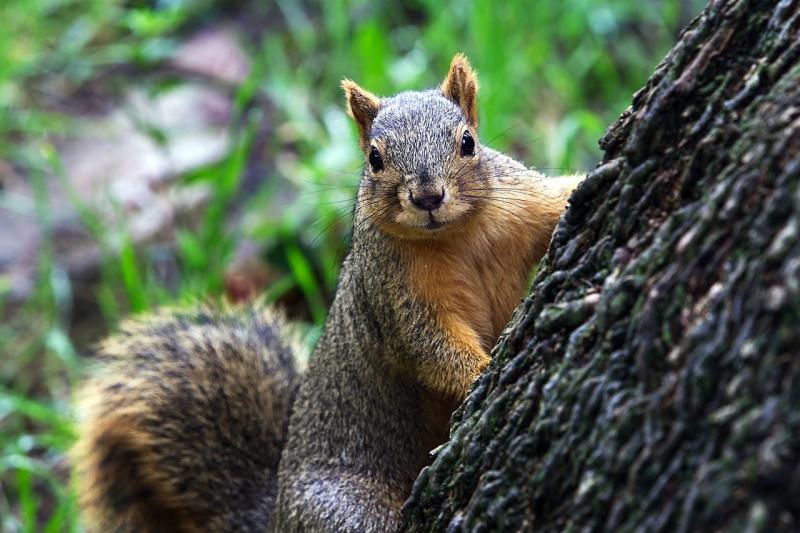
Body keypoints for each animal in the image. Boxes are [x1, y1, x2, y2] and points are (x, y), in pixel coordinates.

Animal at [72, 55, 584, 532]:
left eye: (468, 142)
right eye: (375, 158)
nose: (427, 198)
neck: (456, 235)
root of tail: (277, 515)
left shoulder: (522, 203)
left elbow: (558, 201)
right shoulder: (391, 295)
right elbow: (429, 344)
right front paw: (482, 372)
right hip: (345, 510)